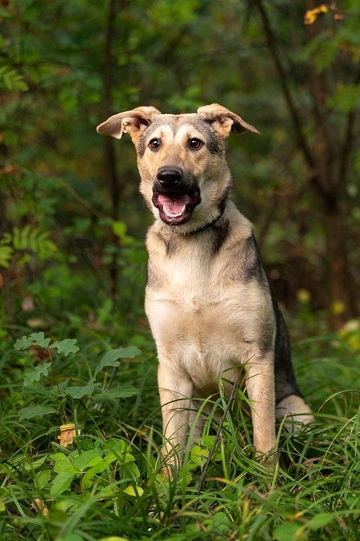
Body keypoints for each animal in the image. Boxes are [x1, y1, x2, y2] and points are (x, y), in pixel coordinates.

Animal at [97, 103, 314, 466]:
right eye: (154, 143)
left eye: (195, 143)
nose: (168, 176)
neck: (190, 242)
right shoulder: (170, 365)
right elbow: (172, 442)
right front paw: (170, 481)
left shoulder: (257, 356)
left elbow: (264, 437)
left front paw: (267, 481)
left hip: (297, 410)